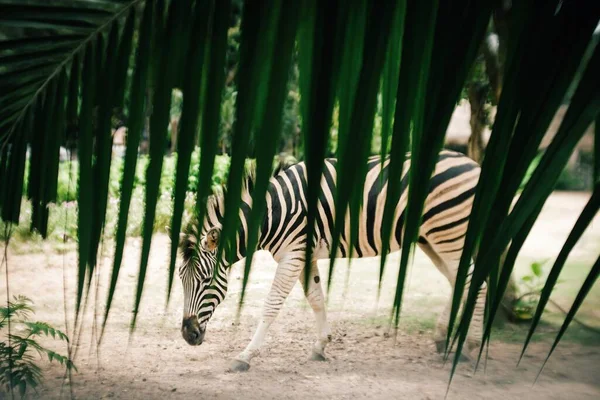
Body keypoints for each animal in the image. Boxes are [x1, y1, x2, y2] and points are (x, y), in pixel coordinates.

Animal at [178, 151, 488, 372]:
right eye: (181, 281)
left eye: (206, 280)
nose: (188, 335)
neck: (271, 214)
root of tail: (474, 163)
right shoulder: (305, 254)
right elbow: (316, 298)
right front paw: (321, 346)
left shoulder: (292, 253)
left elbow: (272, 305)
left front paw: (245, 355)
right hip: (432, 239)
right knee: (457, 281)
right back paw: (442, 339)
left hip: (450, 234)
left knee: (476, 283)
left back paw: (470, 347)